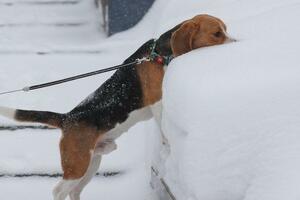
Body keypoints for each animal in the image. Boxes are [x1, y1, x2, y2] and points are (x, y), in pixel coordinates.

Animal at [0, 14, 234, 200]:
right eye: (216, 34)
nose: (235, 43)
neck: (160, 53)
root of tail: (67, 117)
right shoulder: (157, 102)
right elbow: (164, 129)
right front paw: (167, 144)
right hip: (77, 165)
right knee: (58, 191)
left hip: (92, 162)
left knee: (74, 191)